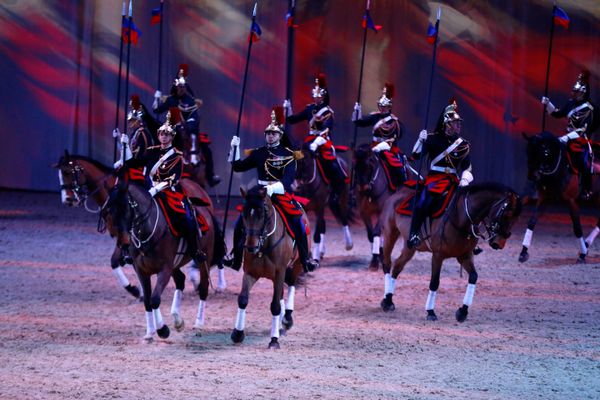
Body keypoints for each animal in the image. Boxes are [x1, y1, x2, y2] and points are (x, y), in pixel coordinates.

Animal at [104, 180, 224, 340]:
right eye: (109, 211)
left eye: (125, 209)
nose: (123, 243)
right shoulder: (141, 271)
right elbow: (147, 301)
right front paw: (150, 332)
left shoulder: (164, 270)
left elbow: (155, 299)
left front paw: (162, 330)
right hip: (175, 265)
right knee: (180, 280)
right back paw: (177, 320)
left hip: (203, 259)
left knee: (203, 289)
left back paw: (198, 324)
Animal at [230, 186, 304, 348]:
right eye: (244, 214)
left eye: (262, 214)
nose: (251, 247)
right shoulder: (250, 272)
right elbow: (243, 299)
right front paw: (238, 333)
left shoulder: (280, 271)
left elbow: (275, 306)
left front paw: (274, 340)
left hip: (296, 264)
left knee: (291, 283)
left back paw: (287, 318)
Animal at [354, 142, 406, 270]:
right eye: (355, 167)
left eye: (369, 166)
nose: (363, 188)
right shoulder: (364, 212)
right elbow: (370, 235)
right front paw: (376, 257)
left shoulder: (382, 212)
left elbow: (376, 232)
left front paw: (375, 261)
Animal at [382, 184, 524, 322]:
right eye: (506, 214)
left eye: (516, 219)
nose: (499, 243)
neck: (461, 218)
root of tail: (398, 193)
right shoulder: (438, 255)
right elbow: (434, 282)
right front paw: (430, 311)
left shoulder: (465, 255)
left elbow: (473, 277)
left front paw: (463, 311)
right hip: (390, 234)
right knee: (387, 264)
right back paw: (386, 301)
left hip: (410, 247)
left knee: (397, 266)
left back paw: (389, 300)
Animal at [516, 133, 596, 264]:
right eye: (528, 151)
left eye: (546, 152)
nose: (532, 176)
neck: (561, 169)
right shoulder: (544, 198)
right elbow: (532, 221)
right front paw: (523, 252)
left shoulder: (571, 201)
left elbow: (577, 228)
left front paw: (583, 254)